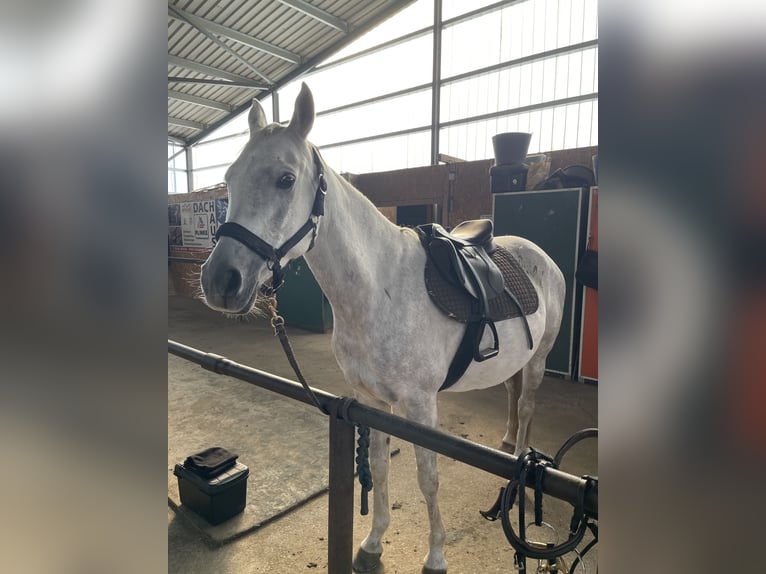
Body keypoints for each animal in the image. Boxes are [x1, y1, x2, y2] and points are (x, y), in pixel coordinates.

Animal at [200, 83, 565, 574]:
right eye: (230, 177)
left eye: (285, 179)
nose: (220, 282)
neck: (380, 289)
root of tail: (537, 253)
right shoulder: (371, 402)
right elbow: (378, 467)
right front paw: (373, 543)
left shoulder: (421, 407)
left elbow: (427, 478)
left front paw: (435, 555)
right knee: (511, 392)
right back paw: (507, 443)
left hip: (540, 359)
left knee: (526, 406)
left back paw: (519, 468)